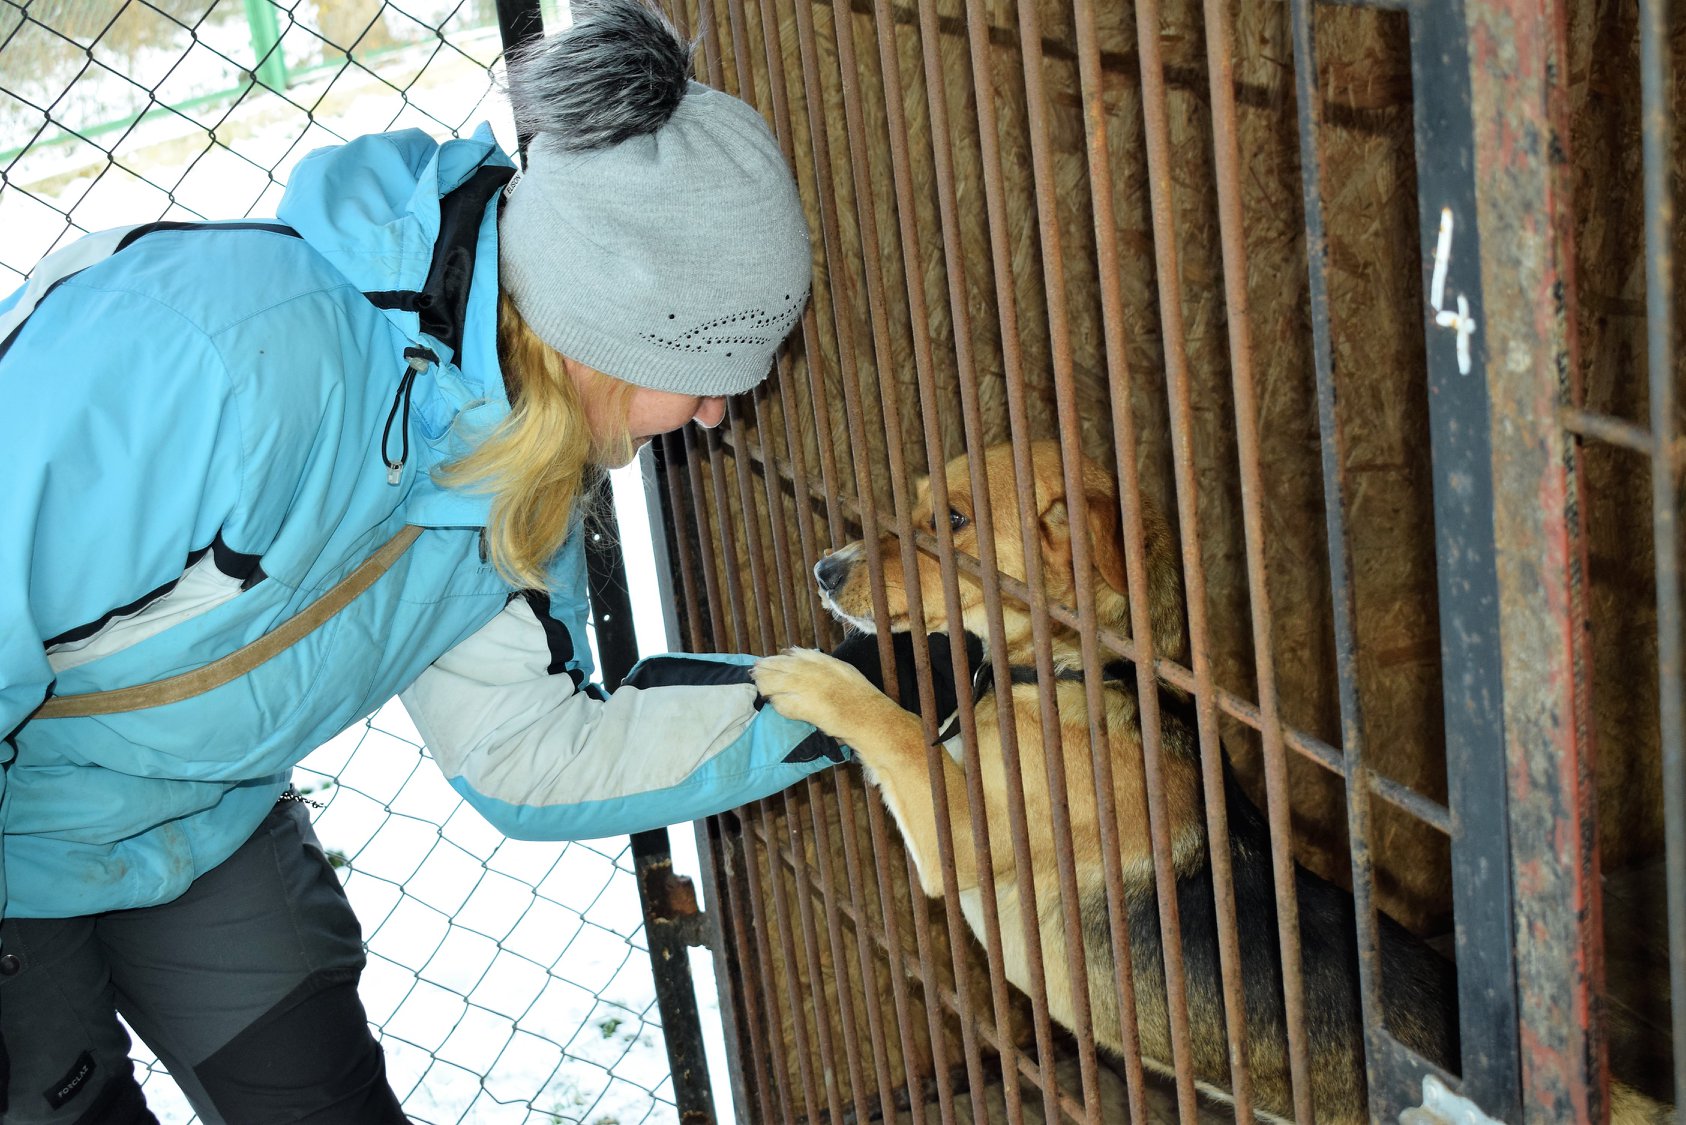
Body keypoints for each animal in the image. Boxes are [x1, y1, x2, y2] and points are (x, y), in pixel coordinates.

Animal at [758, 445, 1665, 1119]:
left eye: (951, 520)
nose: (822, 568)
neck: (1083, 670)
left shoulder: (963, 831)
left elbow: (895, 729)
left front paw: (819, 683)